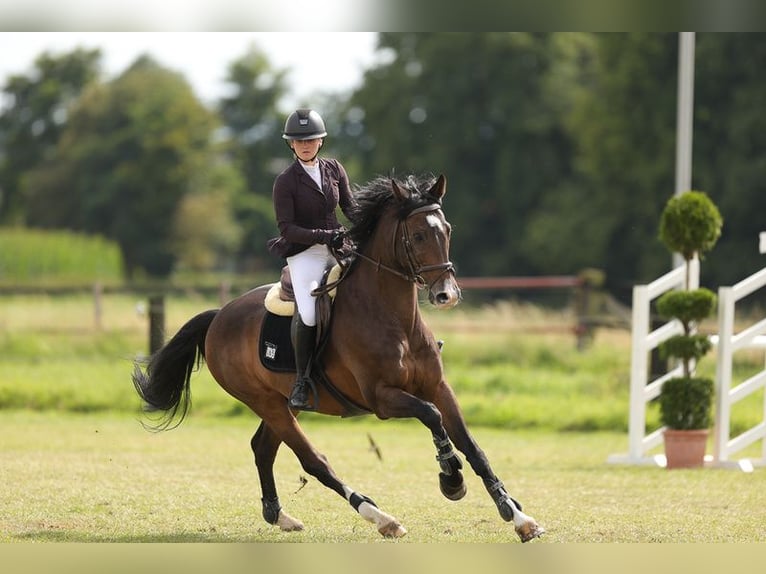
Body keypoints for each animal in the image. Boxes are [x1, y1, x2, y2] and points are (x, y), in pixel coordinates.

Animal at [132, 176, 544, 544]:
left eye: (446, 230)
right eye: (417, 236)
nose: (447, 295)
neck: (393, 318)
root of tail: (219, 316)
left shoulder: (438, 387)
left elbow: (472, 446)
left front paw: (518, 516)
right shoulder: (382, 399)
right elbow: (432, 417)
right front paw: (451, 478)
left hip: (283, 403)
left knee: (263, 448)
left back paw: (279, 516)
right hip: (266, 402)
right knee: (314, 461)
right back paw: (381, 518)